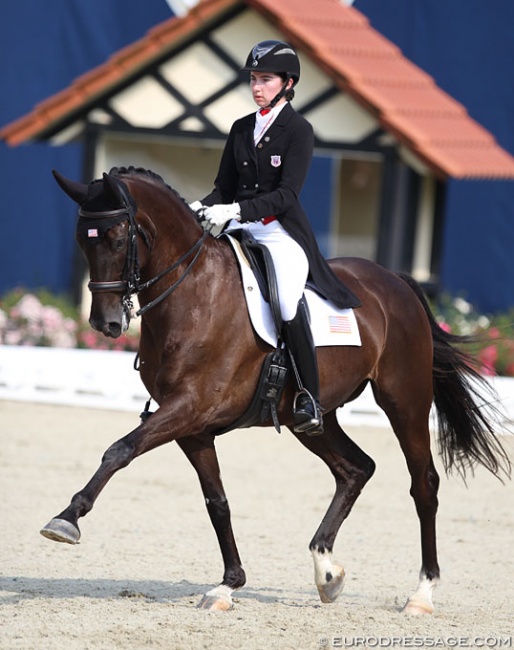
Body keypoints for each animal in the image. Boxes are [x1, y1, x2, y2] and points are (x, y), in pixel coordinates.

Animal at [43, 165, 508, 612]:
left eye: (118, 238)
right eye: (83, 241)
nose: (105, 323)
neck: (194, 294)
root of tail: (394, 281)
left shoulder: (188, 407)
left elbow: (119, 450)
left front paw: (66, 519)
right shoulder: (191, 426)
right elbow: (217, 502)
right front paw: (228, 585)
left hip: (405, 400)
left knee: (423, 484)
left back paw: (422, 594)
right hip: (312, 417)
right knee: (356, 469)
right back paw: (327, 572)